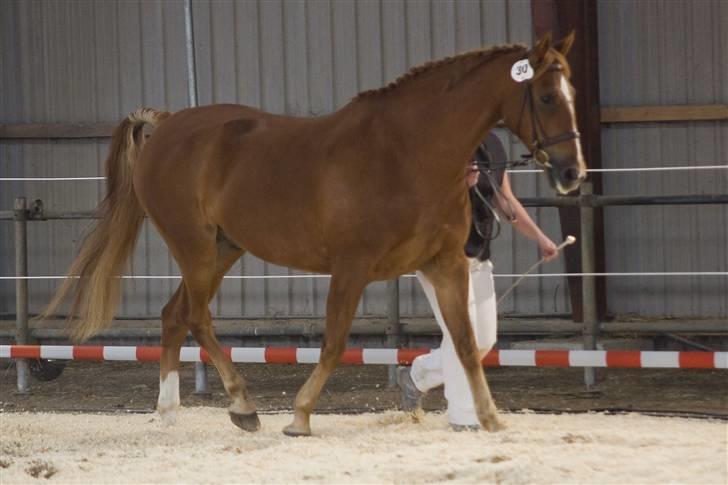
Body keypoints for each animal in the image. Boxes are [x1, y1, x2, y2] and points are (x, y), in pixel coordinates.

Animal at [41, 34, 584, 434]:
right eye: (546, 96)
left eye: (572, 95)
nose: (572, 172)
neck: (407, 153)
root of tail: (169, 125)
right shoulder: (351, 268)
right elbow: (334, 344)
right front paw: (299, 417)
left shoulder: (446, 264)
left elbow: (468, 343)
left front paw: (490, 418)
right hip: (194, 247)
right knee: (195, 317)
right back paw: (243, 407)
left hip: (222, 248)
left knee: (174, 316)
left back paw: (171, 413)